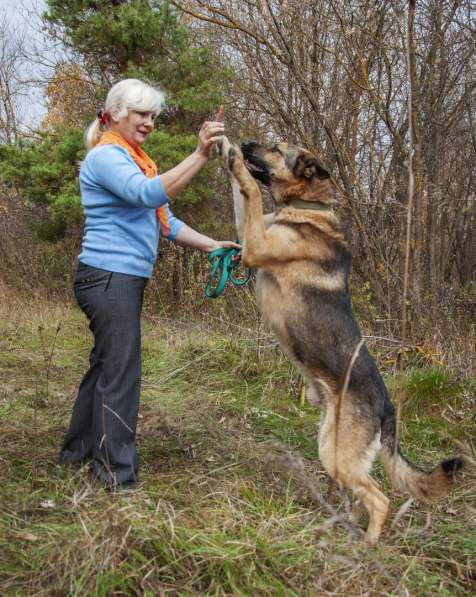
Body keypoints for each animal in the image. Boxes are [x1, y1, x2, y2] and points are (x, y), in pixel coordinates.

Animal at [218, 136, 462, 544]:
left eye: (275, 147)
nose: (248, 142)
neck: (305, 208)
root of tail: (387, 408)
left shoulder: (256, 247)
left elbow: (249, 189)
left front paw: (234, 158)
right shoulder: (249, 237)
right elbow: (241, 199)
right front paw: (223, 148)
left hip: (337, 457)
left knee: (381, 499)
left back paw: (367, 544)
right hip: (331, 448)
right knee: (363, 495)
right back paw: (347, 523)